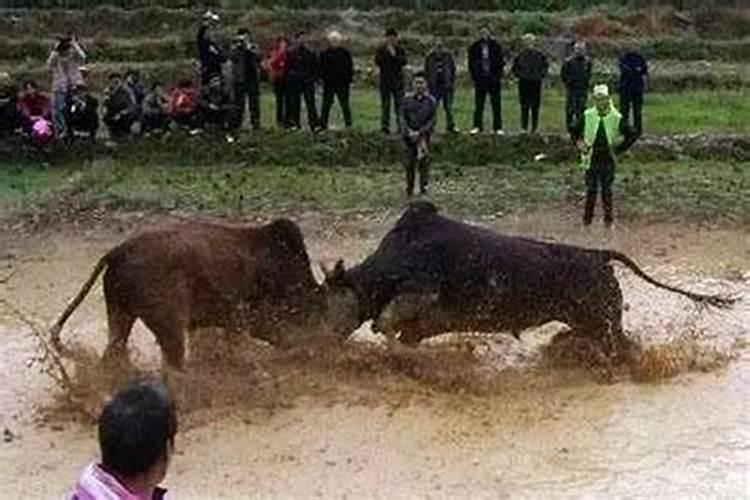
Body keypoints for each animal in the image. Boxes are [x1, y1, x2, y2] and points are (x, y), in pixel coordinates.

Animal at [51, 218, 334, 368]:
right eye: (313, 310)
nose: (318, 345)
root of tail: (119, 251)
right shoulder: (239, 321)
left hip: (120, 313)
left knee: (114, 351)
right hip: (169, 326)